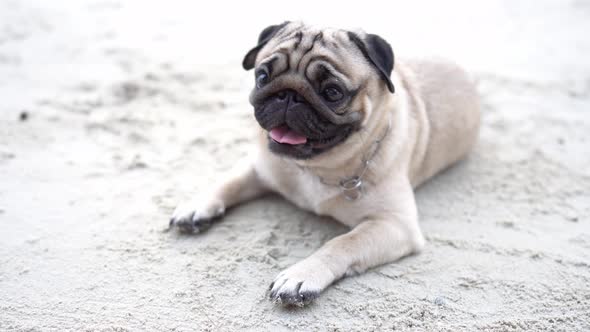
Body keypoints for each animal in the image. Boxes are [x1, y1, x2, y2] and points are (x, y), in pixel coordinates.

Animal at [170, 21, 480, 306]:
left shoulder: (394, 224)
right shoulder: (260, 166)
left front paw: (302, 275)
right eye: (262, 76)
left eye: (332, 92)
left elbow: (343, 242)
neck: (314, 168)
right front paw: (197, 205)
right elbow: (228, 181)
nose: (289, 95)